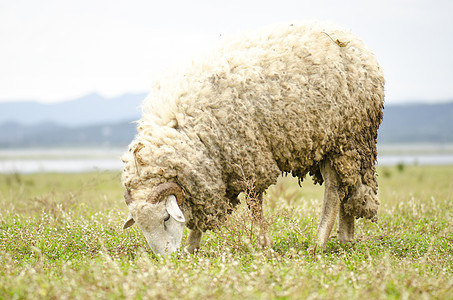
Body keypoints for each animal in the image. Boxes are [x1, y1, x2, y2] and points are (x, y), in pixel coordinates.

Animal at [120, 21, 382, 255]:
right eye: (142, 226)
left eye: (165, 218)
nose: (166, 258)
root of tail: (354, 40)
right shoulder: (215, 168)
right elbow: (206, 209)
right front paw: (192, 247)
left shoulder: (248, 157)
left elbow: (254, 203)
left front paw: (264, 244)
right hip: (334, 143)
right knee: (348, 187)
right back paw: (345, 237)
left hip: (348, 136)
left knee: (335, 191)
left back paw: (319, 243)